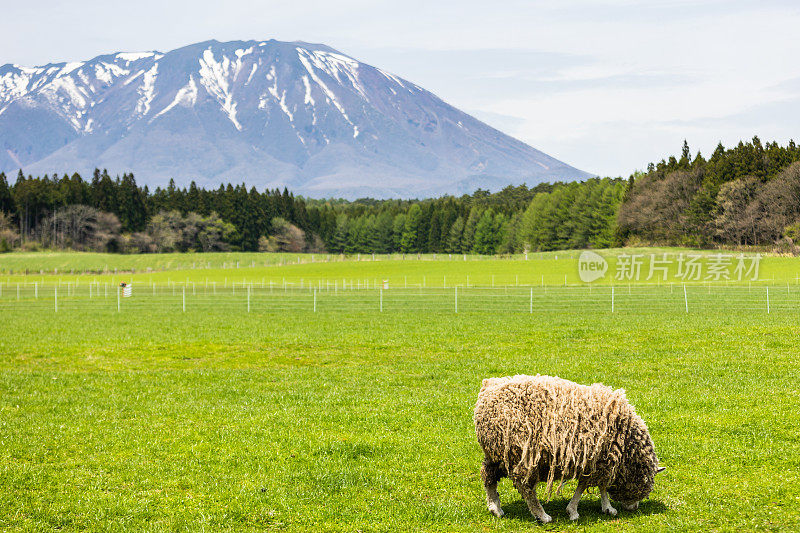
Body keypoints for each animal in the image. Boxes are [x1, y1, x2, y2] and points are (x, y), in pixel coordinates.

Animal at [472, 374, 664, 520]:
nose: (633, 508)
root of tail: (487, 389)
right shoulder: (597, 459)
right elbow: (586, 486)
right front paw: (573, 511)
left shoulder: (597, 461)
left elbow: (599, 485)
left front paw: (607, 507)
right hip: (521, 455)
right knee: (525, 487)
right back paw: (541, 515)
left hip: (496, 452)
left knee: (488, 475)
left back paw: (495, 508)